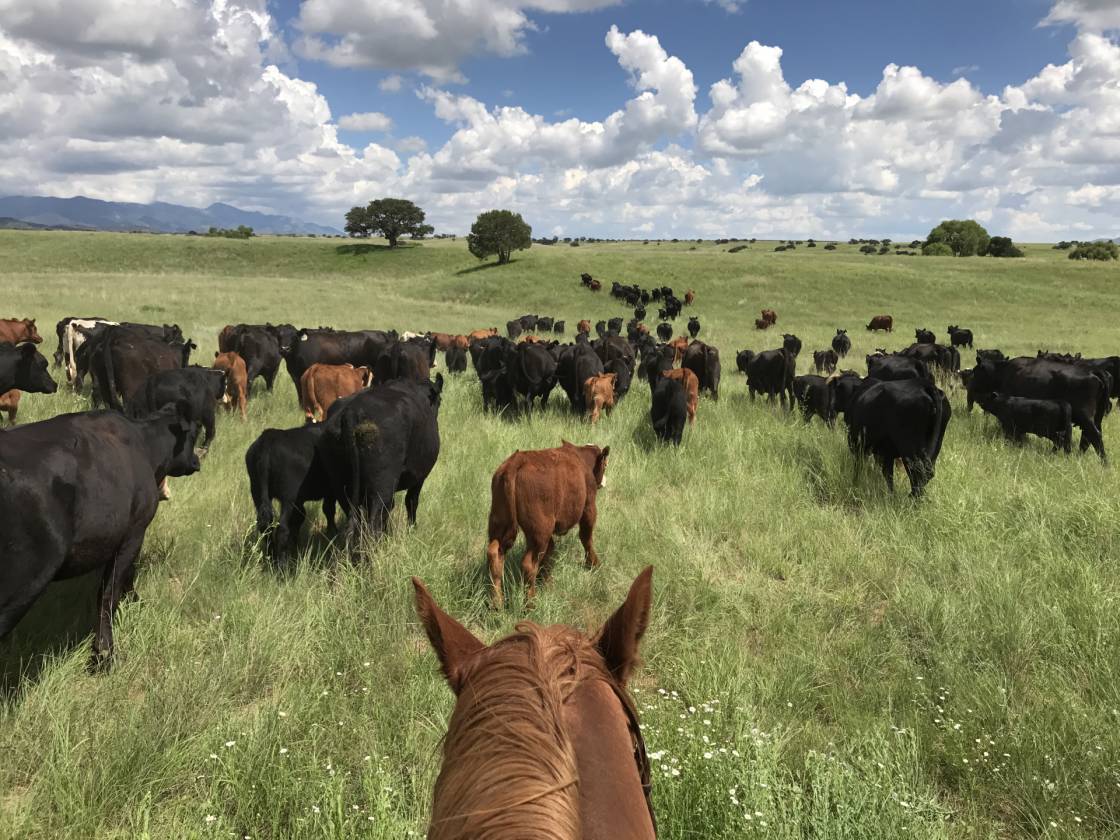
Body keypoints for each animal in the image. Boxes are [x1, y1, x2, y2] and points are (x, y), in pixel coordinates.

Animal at [0, 407, 201, 667]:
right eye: (194, 435)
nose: (196, 461)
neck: (144, 445)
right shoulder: (133, 532)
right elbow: (109, 592)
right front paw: (104, 653)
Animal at [246, 423, 337, 564]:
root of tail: (268, 438)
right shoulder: (330, 490)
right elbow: (329, 510)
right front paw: (332, 534)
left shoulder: (300, 500)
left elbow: (299, 517)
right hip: (288, 497)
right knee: (282, 529)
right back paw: (283, 565)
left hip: (257, 491)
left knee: (266, 526)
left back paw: (271, 558)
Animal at [319, 375, 444, 540]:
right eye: (440, 401)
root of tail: (351, 412)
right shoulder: (420, 475)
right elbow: (411, 501)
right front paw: (412, 530)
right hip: (382, 484)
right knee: (374, 523)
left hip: (340, 484)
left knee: (354, 519)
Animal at [485, 442, 609, 607]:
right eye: (605, 465)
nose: (603, 482)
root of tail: (515, 462)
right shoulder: (589, 508)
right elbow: (586, 538)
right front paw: (594, 565)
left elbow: (549, 551)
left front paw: (546, 581)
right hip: (540, 531)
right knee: (528, 564)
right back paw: (530, 604)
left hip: (501, 523)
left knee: (495, 554)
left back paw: (496, 602)